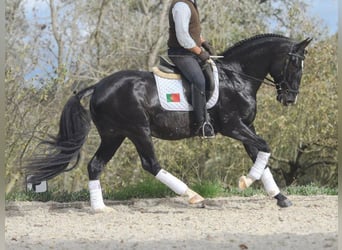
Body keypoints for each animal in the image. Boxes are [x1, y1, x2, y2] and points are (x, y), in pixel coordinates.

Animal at [25, 34, 312, 211]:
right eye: (294, 63)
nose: (290, 98)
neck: (237, 77)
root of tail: (98, 86)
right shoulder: (234, 127)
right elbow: (264, 147)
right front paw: (246, 182)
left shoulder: (246, 127)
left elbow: (260, 153)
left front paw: (280, 197)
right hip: (138, 130)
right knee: (150, 164)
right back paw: (193, 196)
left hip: (114, 134)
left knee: (95, 165)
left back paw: (100, 208)